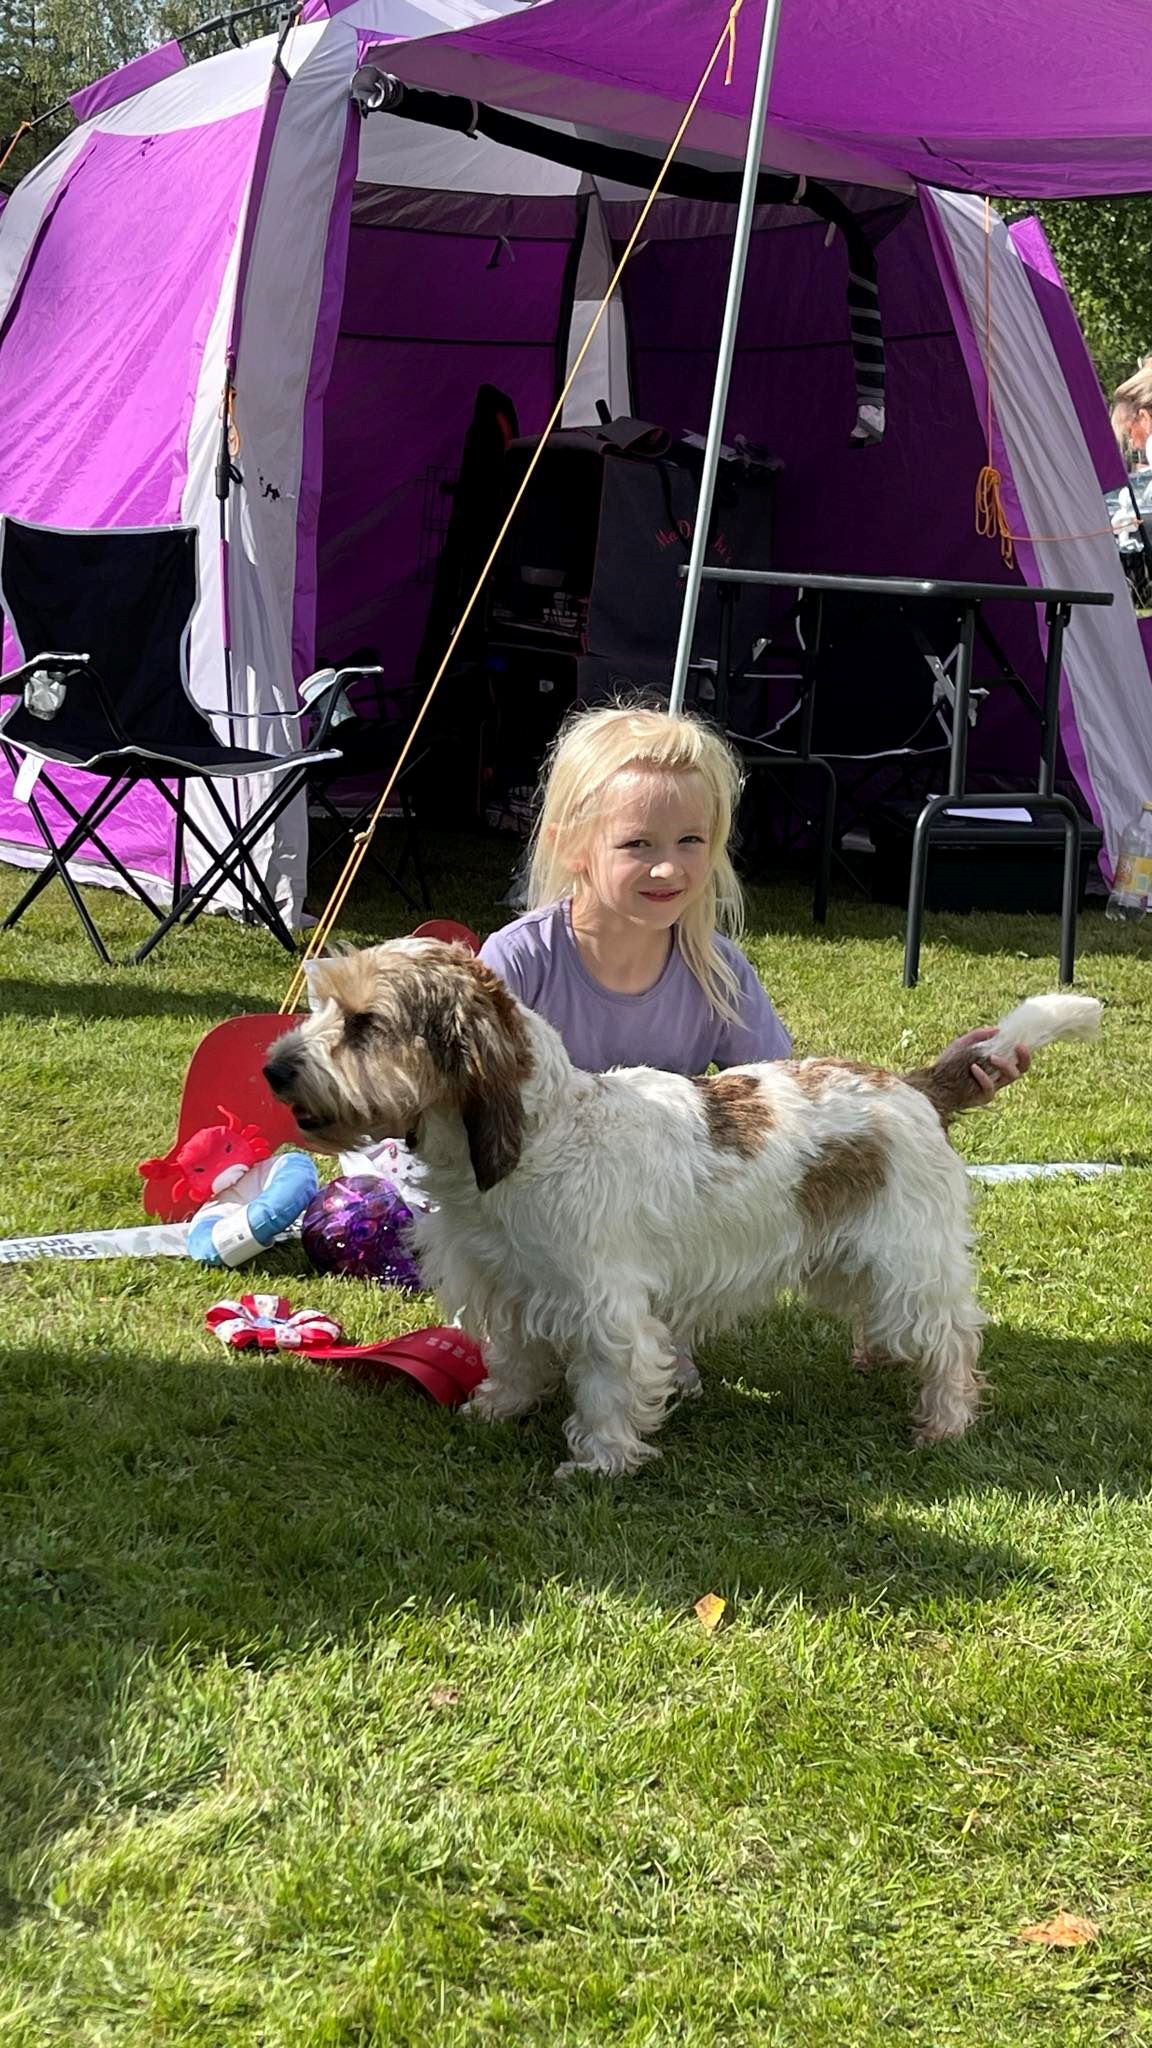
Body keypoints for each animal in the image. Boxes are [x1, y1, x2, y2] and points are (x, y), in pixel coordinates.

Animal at [264, 937, 1098, 1482]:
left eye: (366, 1023)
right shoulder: (510, 1288)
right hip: (850, 1254)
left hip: (912, 1260)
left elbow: (606, 1385)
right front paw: (497, 1408)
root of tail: (914, 1084)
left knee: (953, 1339)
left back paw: (945, 1420)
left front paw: (598, 1463)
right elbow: (515, 1357)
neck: (544, 1135)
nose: (273, 1068)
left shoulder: (604, 1306)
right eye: (323, 1006)